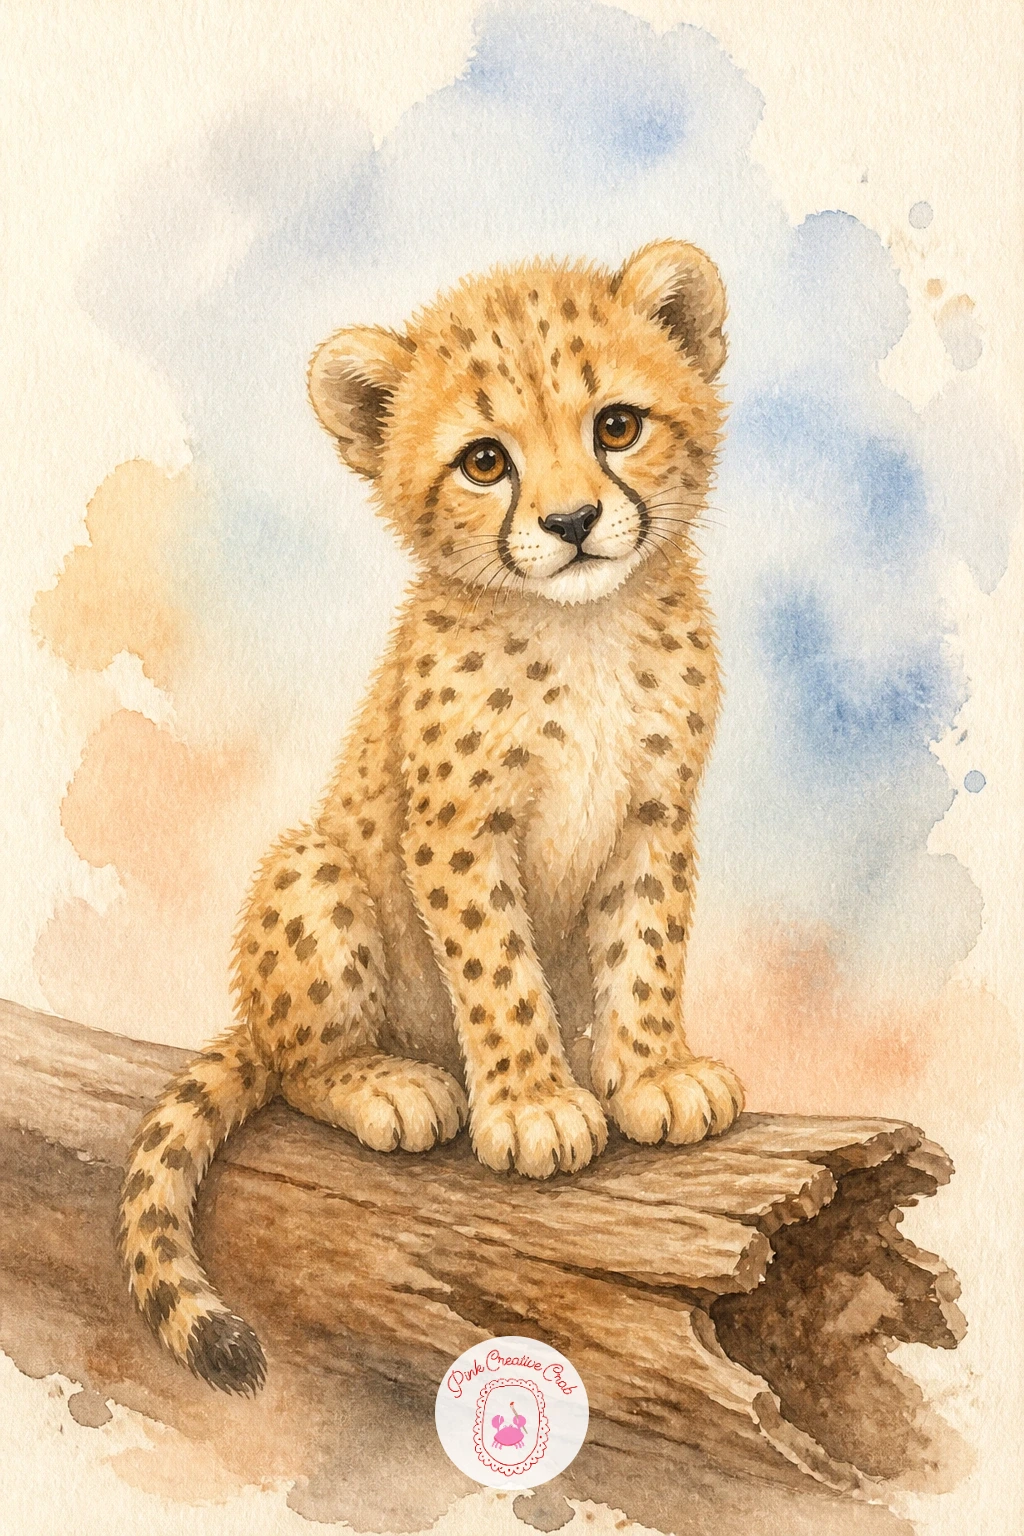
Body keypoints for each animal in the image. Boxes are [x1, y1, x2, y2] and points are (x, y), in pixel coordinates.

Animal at [116, 239, 745, 1394]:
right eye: (485, 462)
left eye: (617, 426)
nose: (572, 524)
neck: (580, 627)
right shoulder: (456, 829)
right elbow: (499, 973)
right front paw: (534, 1104)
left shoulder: (655, 814)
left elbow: (645, 948)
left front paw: (651, 1071)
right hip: (311, 869)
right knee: (296, 1066)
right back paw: (391, 1085)